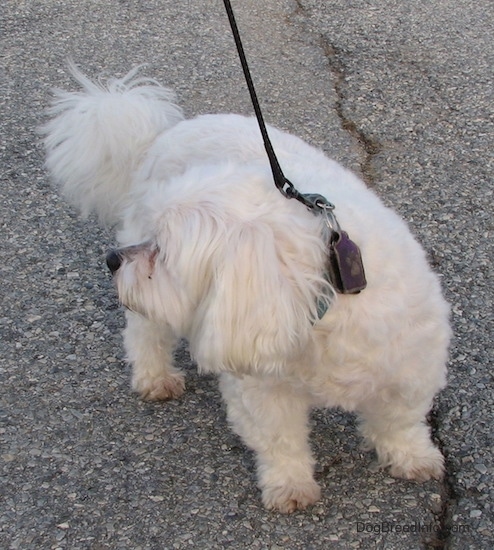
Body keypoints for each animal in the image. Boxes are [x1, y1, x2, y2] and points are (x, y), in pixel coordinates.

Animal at [44, 67, 450, 516]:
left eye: (161, 252)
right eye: (153, 239)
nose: (113, 260)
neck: (321, 307)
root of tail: (165, 133)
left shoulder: (411, 364)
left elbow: (399, 419)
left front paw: (412, 456)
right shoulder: (261, 384)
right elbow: (280, 440)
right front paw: (289, 484)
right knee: (146, 333)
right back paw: (155, 376)